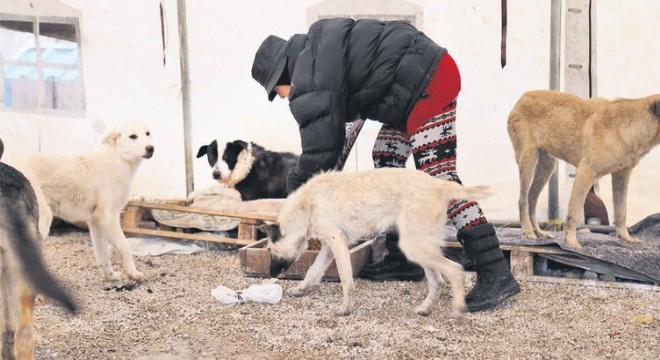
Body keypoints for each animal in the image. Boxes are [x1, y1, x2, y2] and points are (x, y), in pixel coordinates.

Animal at [9, 121, 154, 282]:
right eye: (133, 136)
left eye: (148, 133)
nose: (151, 148)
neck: (118, 159)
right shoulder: (108, 217)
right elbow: (125, 246)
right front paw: (133, 273)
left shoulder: (96, 222)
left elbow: (103, 254)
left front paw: (111, 277)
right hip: (43, 219)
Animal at [260, 169, 492, 318]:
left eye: (270, 249)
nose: (271, 274)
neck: (306, 205)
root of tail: (438, 184)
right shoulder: (329, 246)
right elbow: (313, 271)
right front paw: (300, 289)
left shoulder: (337, 242)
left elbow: (346, 280)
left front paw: (346, 309)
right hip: (419, 247)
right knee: (438, 282)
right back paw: (424, 309)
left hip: (415, 247)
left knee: (455, 271)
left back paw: (459, 311)